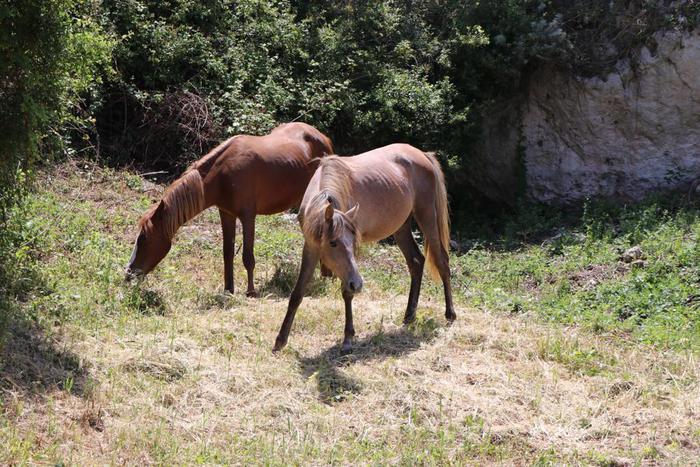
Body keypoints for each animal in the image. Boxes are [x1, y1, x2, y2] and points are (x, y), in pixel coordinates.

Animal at [126, 121, 334, 296]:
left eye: (143, 238)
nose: (128, 274)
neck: (223, 175)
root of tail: (324, 138)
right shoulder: (226, 214)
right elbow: (227, 253)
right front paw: (228, 290)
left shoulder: (248, 216)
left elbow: (247, 256)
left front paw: (251, 292)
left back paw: (327, 276)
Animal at [274, 144, 454, 352]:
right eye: (332, 242)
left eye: (353, 242)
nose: (358, 284)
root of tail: (422, 154)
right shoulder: (311, 247)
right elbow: (298, 292)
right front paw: (280, 340)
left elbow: (347, 292)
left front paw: (348, 338)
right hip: (401, 227)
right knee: (416, 262)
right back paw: (409, 316)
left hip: (427, 217)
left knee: (442, 261)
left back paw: (450, 314)